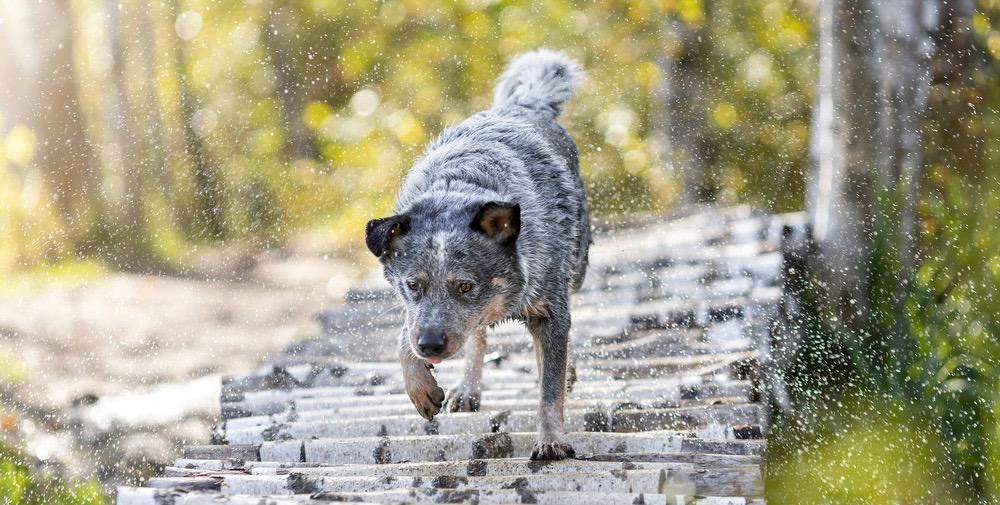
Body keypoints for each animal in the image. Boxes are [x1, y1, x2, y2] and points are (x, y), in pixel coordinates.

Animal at [366, 49, 584, 458]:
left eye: (466, 286)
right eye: (413, 285)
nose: (431, 344)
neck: (462, 187)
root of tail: (523, 103)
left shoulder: (549, 307)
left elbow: (549, 388)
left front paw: (551, 440)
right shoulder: (416, 313)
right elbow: (405, 335)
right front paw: (420, 387)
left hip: (577, 266)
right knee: (478, 335)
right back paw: (467, 388)